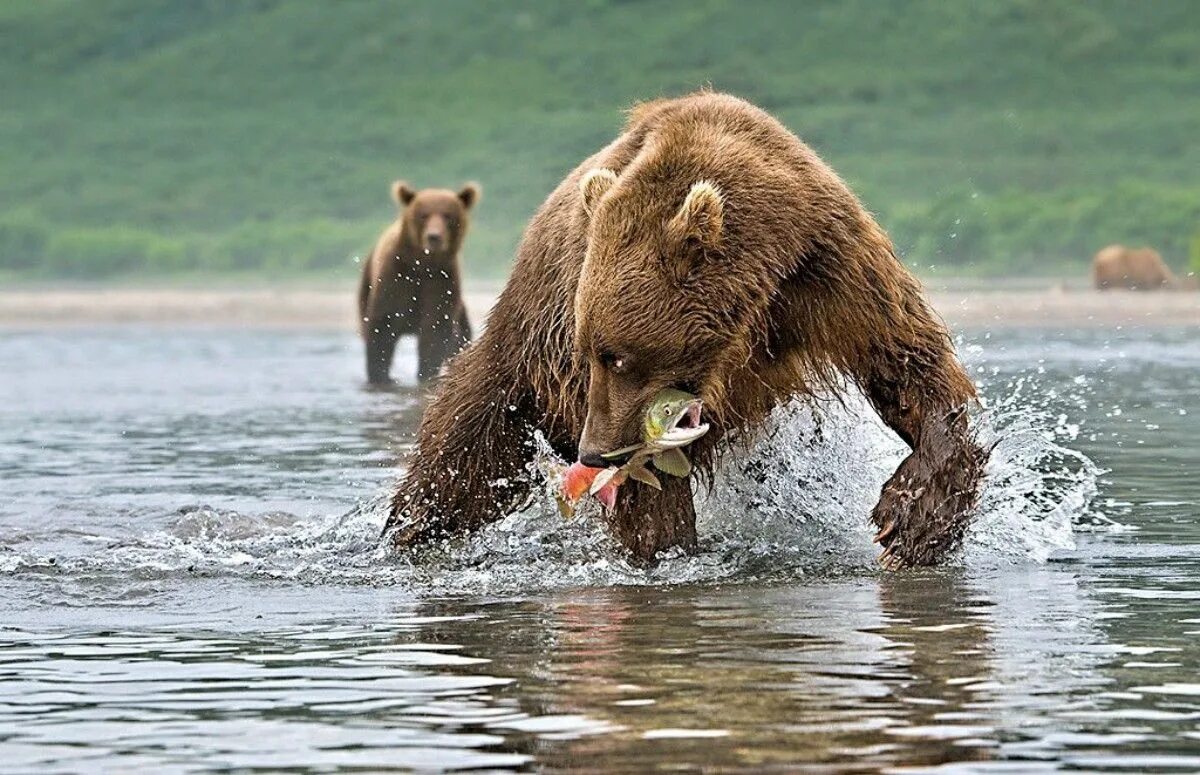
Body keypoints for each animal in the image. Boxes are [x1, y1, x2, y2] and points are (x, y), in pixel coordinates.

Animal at [357, 183, 480, 388]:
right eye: (424, 215)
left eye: (447, 215)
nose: (434, 237)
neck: (421, 263)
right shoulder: (396, 277)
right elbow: (382, 327)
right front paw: (380, 376)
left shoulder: (441, 281)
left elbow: (435, 328)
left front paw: (426, 373)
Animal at [381, 92, 984, 571]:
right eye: (589, 350)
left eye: (617, 355)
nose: (593, 453)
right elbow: (648, 489)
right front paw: (664, 544)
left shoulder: (826, 268)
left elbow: (906, 361)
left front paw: (910, 520)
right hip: (514, 361)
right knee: (458, 463)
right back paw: (406, 535)